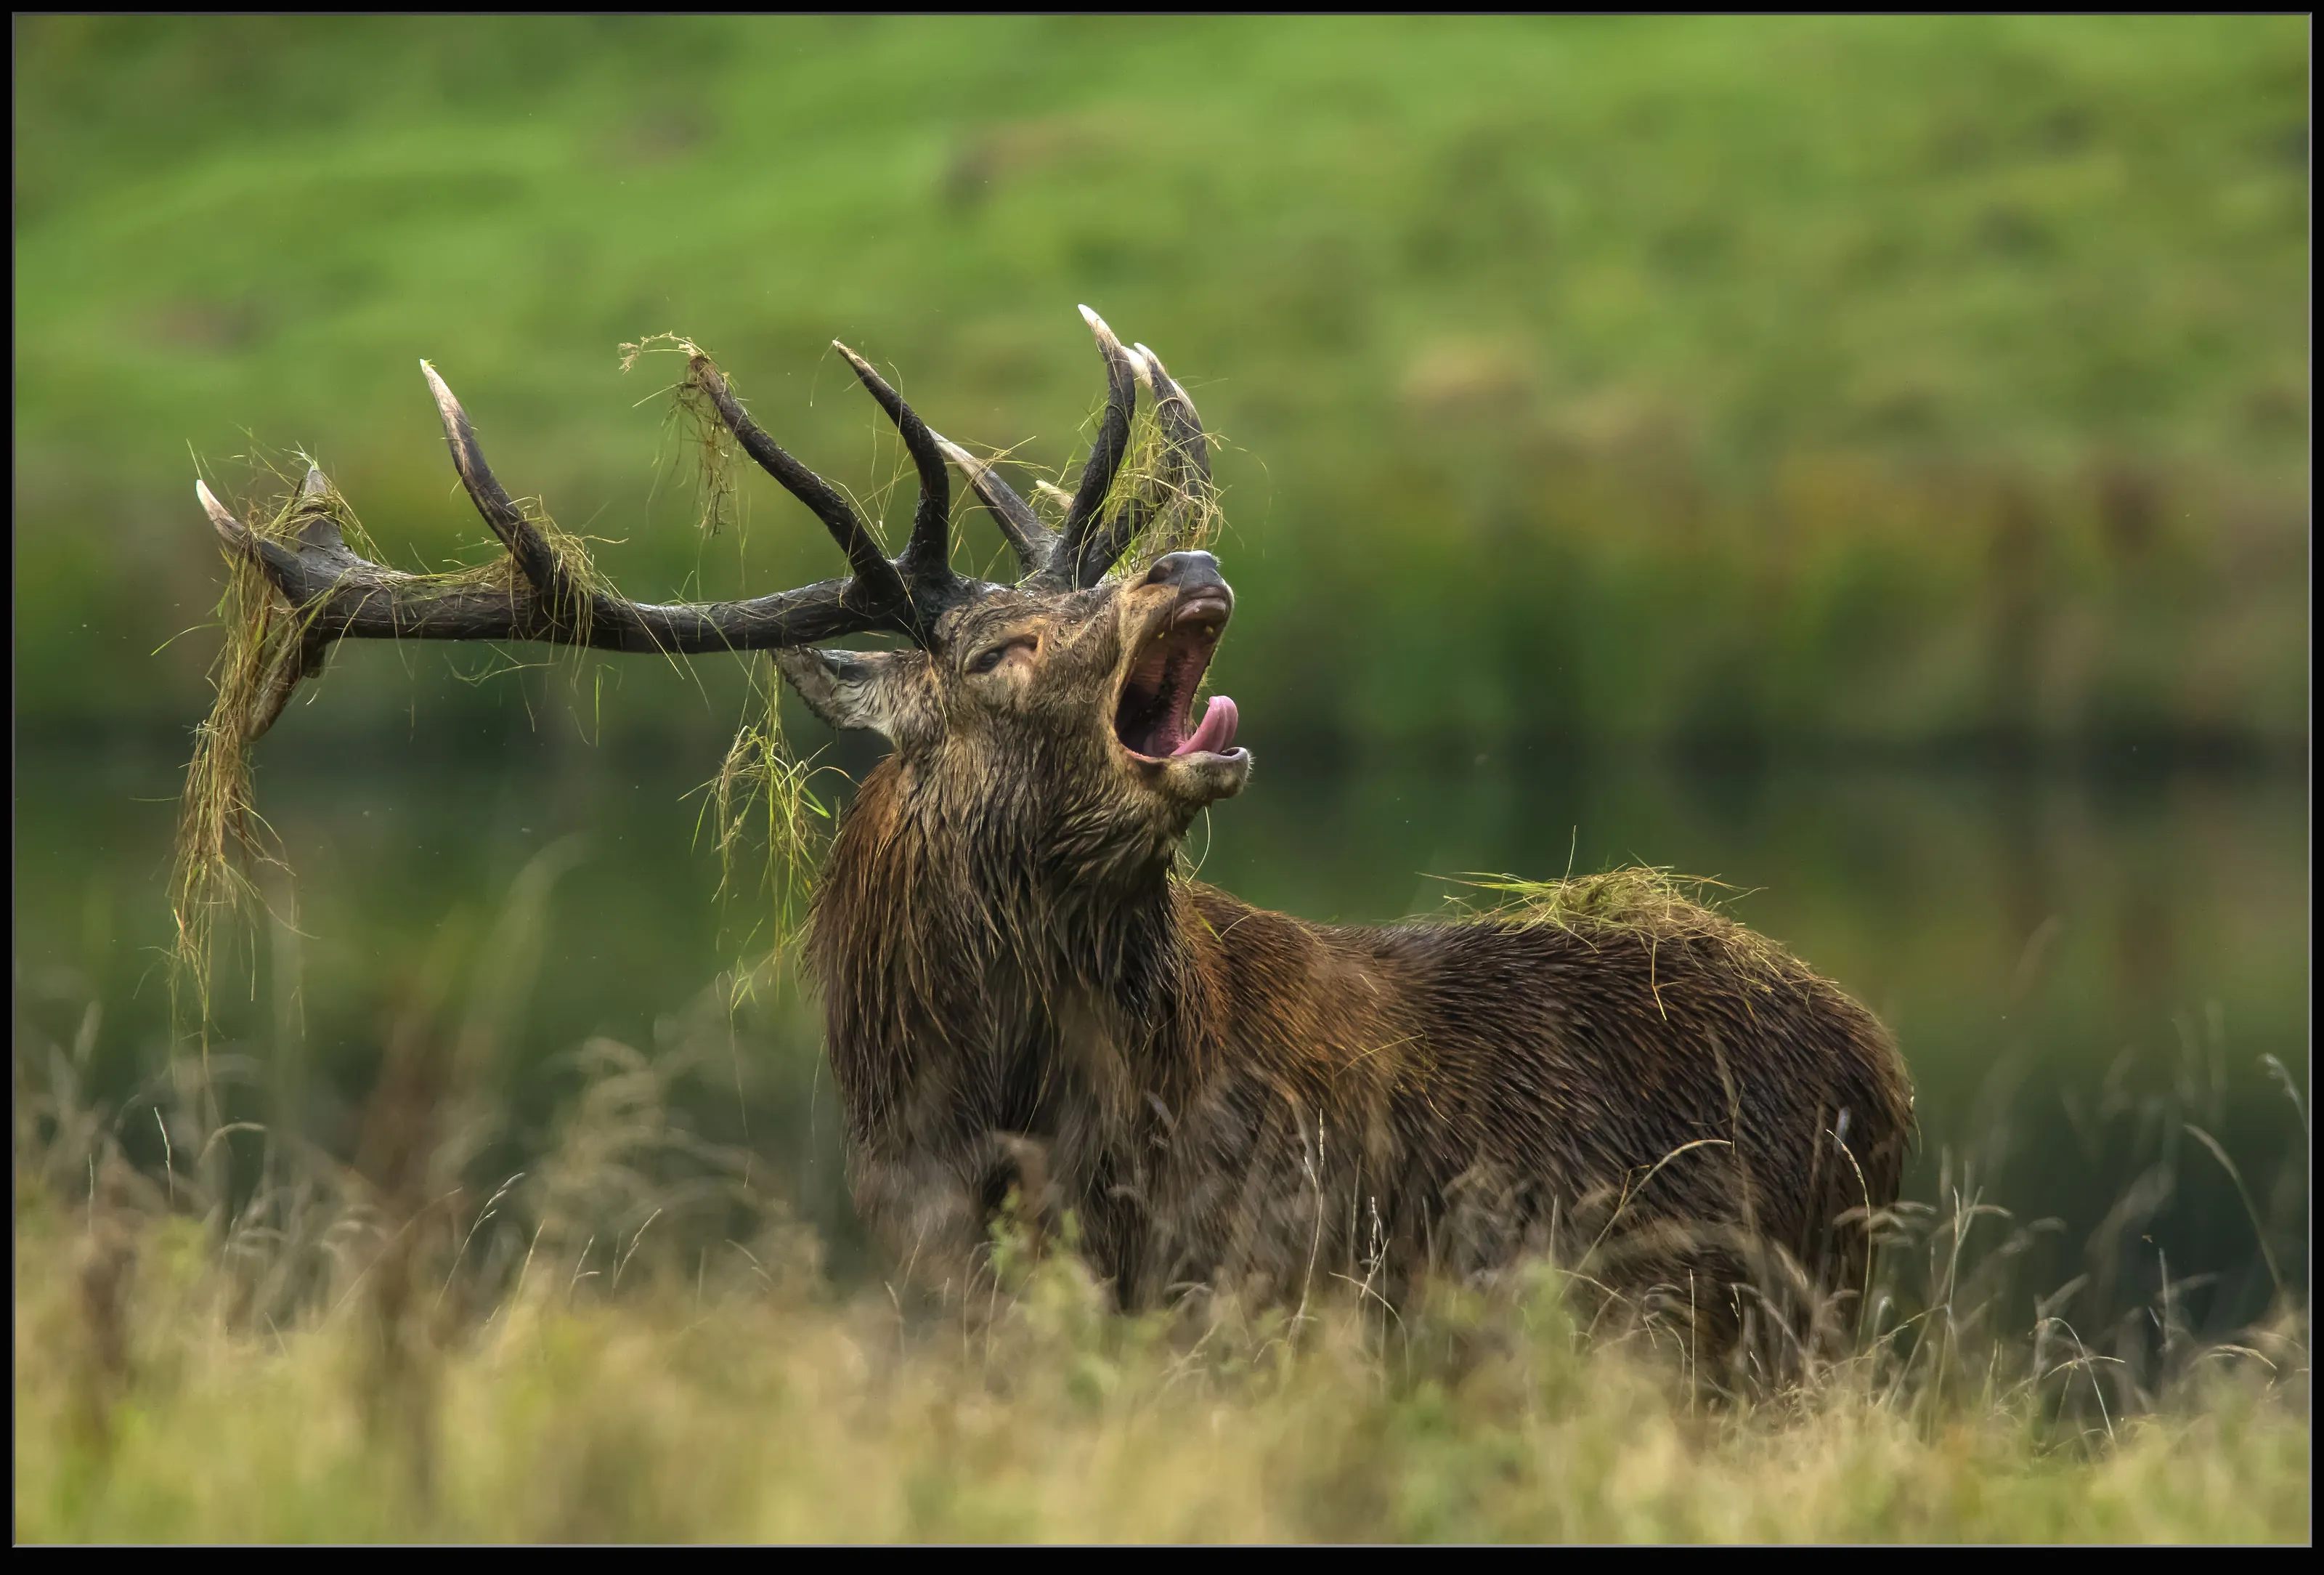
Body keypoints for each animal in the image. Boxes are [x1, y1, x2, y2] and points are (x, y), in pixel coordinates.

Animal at [193, 307, 1914, 1352]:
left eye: (1097, 591)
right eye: (1003, 648)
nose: (1187, 565)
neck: (1008, 1123)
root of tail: (1883, 1066)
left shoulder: (1257, 1282)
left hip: (1765, 1316)